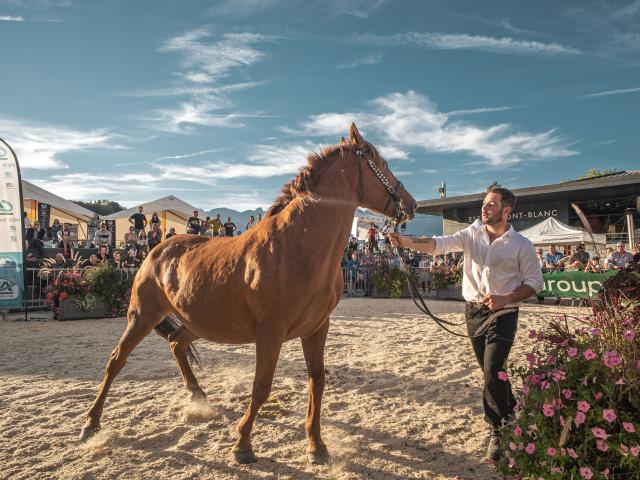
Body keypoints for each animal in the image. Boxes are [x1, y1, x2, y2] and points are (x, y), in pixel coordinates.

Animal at [80, 124, 418, 464]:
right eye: (381, 163)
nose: (411, 204)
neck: (299, 247)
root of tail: (156, 251)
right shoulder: (270, 331)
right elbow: (261, 386)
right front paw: (243, 443)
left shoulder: (317, 327)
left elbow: (317, 380)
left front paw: (315, 444)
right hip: (144, 315)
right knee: (116, 360)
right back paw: (91, 423)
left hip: (196, 321)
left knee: (176, 344)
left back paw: (198, 395)